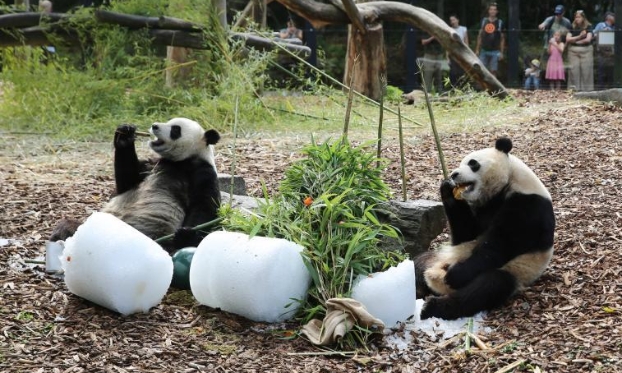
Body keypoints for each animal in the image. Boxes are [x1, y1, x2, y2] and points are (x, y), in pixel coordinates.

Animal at [51, 117, 222, 251]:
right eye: (169, 121)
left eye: (175, 129)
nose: (155, 126)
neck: (180, 161)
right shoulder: (152, 164)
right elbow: (127, 183)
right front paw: (124, 135)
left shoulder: (201, 172)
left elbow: (204, 205)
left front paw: (186, 234)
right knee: (70, 227)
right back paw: (62, 235)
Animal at [416, 138, 560, 318]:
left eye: (473, 163)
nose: (454, 174)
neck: (509, 182)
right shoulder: (485, 207)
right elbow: (467, 234)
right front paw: (447, 189)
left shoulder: (528, 206)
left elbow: (499, 246)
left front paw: (455, 275)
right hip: (440, 257)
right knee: (419, 262)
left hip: (518, 270)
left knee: (487, 287)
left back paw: (432, 305)